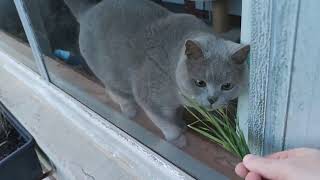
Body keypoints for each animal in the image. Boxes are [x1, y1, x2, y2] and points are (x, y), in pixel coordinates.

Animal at [62, 0, 250, 146]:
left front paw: (181, 124)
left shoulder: (175, 105)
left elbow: (175, 115)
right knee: (116, 92)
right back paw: (130, 110)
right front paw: (178, 139)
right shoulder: (148, 97)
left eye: (227, 86)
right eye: (200, 83)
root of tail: (89, 10)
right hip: (111, 76)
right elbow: (166, 124)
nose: (212, 99)